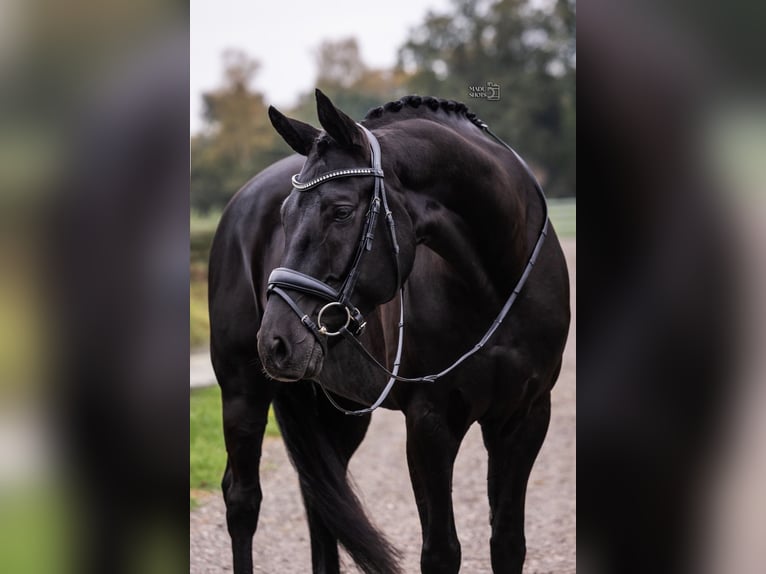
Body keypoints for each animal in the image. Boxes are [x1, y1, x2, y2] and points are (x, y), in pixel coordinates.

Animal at [208, 89, 570, 574]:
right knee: (243, 500)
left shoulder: (525, 416)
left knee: (321, 498)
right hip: (242, 392)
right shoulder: (430, 422)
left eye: (341, 211)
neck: (497, 281)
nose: (275, 342)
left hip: (337, 408)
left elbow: (508, 543)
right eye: (285, 214)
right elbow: (441, 552)